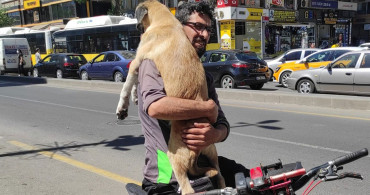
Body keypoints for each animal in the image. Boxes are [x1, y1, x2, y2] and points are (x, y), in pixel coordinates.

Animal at [115, 0, 225, 193]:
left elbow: (126, 85)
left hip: (174, 156)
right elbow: (135, 83)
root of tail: (197, 152)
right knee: (220, 175)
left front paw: (122, 107)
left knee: (188, 189)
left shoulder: (137, 60)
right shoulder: (140, 63)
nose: (136, 28)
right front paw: (135, 96)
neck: (164, 21)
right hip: (213, 153)